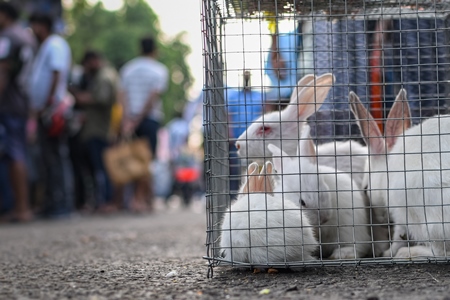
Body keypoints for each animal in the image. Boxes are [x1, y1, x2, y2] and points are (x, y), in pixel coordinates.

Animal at [268, 127, 370, 258]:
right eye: (302, 202)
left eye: (323, 186)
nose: (324, 218)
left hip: (349, 230)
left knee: (359, 246)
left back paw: (341, 254)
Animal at [350, 89, 450, 258]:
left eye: (365, 188)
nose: (382, 221)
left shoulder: (399, 212)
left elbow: (398, 236)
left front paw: (388, 253)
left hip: (429, 221)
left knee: (439, 251)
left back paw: (408, 252)